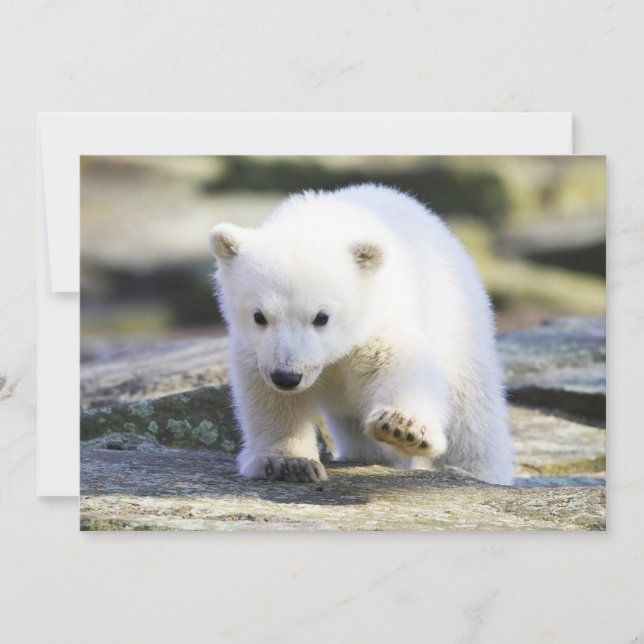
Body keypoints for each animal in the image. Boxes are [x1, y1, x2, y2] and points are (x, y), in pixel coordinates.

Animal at [209, 184, 514, 485]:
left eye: (322, 317)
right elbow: (270, 398)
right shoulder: (256, 349)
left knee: (471, 412)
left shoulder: (377, 318)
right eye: (259, 316)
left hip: (458, 321)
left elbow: (401, 363)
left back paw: (473, 470)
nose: (287, 376)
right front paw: (288, 462)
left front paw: (402, 428)